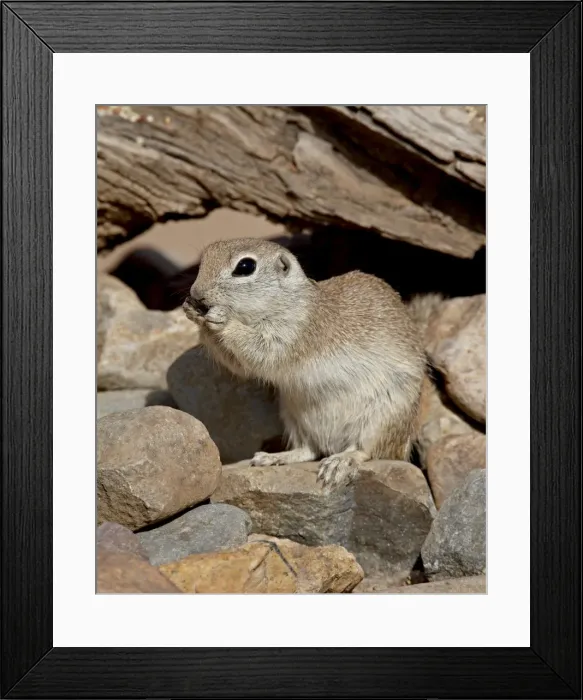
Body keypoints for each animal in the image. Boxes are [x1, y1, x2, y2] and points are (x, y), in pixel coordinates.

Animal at [183, 238, 426, 490]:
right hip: (294, 417)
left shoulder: (293, 333)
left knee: (366, 450)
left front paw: (223, 320)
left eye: (245, 267)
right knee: (309, 451)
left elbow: (260, 350)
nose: (196, 292)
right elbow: (238, 363)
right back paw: (275, 457)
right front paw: (193, 312)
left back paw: (340, 461)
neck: (287, 299)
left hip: (383, 418)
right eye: (204, 259)